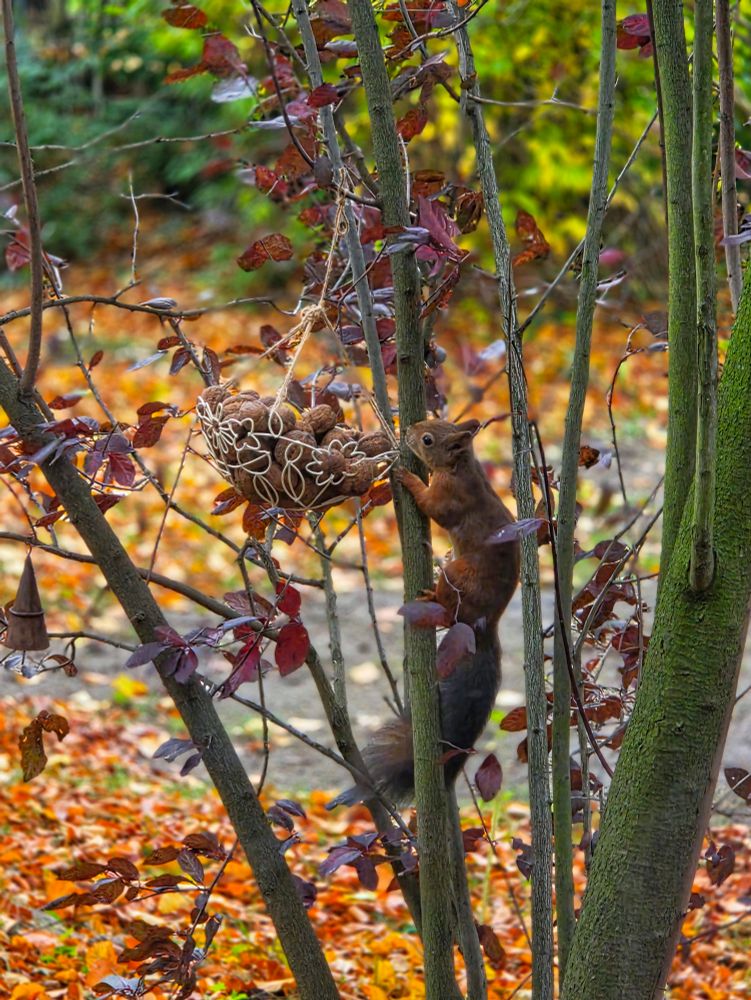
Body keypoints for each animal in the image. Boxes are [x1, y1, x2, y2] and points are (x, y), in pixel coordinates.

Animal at [327, 418, 520, 808]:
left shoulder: (451, 496)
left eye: (429, 439)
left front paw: (405, 476)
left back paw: (432, 592)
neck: (462, 467)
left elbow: (432, 505)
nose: (410, 430)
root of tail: (484, 624)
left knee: (447, 613)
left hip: (458, 578)